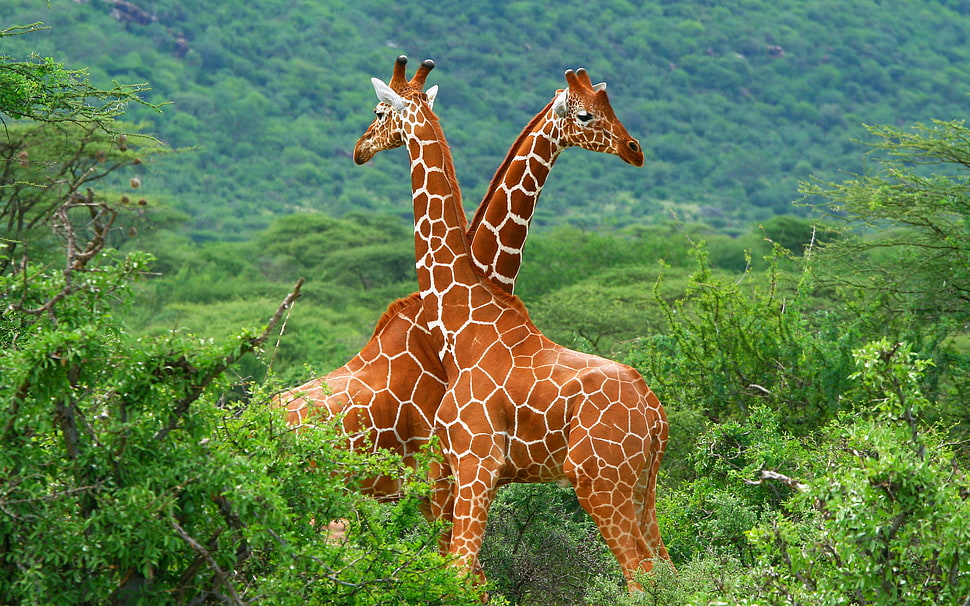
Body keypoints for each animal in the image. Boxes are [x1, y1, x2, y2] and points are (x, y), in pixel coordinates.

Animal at [353, 55, 670, 587]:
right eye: (588, 113)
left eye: (379, 111)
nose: (359, 149)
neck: (461, 322)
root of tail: (655, 414)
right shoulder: (463, 471)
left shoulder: (474, 461)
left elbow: (460, 573)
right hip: (642, 488)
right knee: (669, 568)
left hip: (600, 481)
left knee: (642, 573)